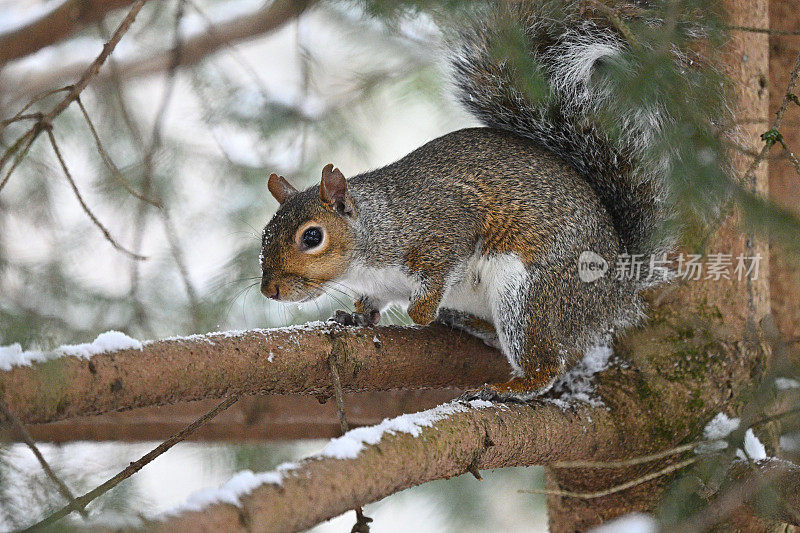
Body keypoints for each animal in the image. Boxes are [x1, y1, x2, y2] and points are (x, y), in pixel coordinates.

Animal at [260, 1, 688, 400]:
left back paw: (510, 386)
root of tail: (618, 288)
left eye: (312, 237)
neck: (370, 242)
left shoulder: (443, 227)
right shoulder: (377, 284)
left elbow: (440, 269)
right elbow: (371, 305)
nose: (270, 291)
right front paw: (356, 318)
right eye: (264, 236)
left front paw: (420, 312)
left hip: (529, 293)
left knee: (545, 364)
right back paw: (468, 323)